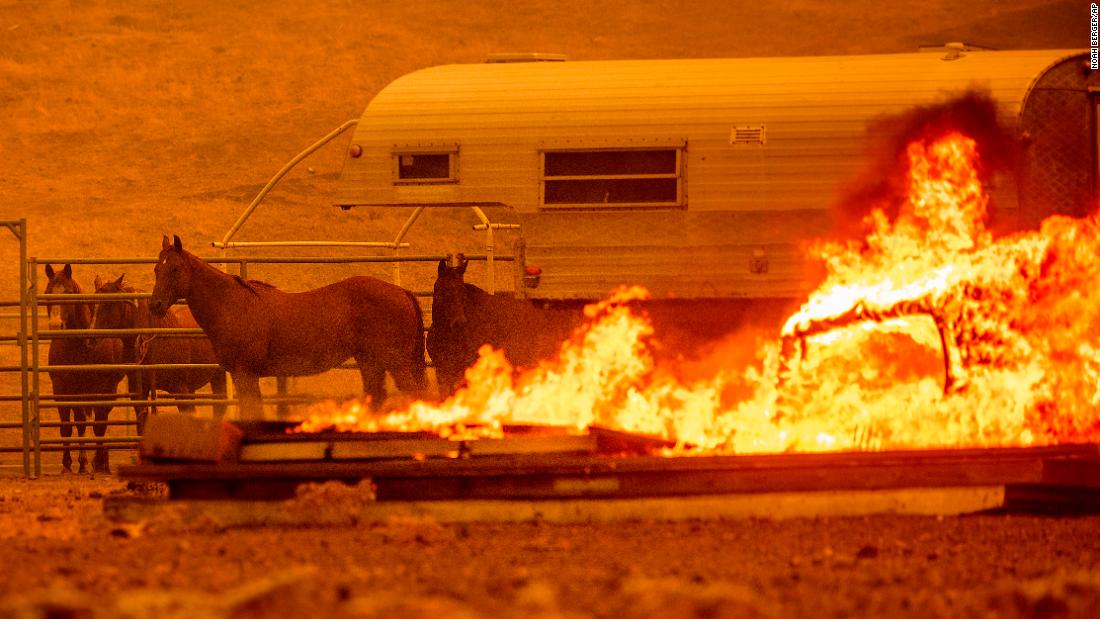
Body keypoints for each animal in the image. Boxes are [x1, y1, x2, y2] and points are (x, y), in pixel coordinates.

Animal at [42, 262, 124, 474]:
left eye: (69, 292)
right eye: (47, 292)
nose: (55, 325)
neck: (81, 345)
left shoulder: (103, 390)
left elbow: (99, 426)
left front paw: (97, 462)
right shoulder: (62, 390)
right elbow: (67, 427)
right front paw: (67, 465)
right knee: (80, 423)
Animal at [150, 235, 429, 419]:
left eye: (175, 269)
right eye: (156, 269)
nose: (155, 305)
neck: (233, 305)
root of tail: (403, 292)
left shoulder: (244, 374)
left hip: (396, 363)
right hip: (371, 361)